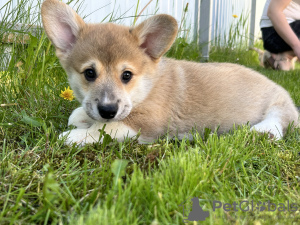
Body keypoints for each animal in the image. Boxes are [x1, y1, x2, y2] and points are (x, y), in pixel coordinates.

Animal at [41, 0, 298, 145]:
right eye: (89, 73)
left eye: (126, 75)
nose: (107, 110)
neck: (148, 87)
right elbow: (79, 116)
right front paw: (80, 119)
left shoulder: (144, 123)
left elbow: (106, 129)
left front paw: (73, 137)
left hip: (278, 106)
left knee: (279, 122)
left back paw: (261, 132)